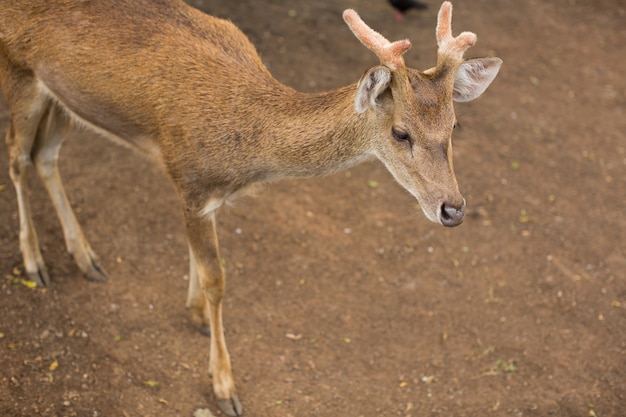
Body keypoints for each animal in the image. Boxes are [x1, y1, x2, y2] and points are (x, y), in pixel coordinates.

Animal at [0, 1, 498, 414]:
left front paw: (196, 314)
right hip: (19, 74)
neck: (241, 150)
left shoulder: (196, 192)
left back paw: (86, 258)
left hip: (61, 98)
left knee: (46, 156)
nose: (453, 208)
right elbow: (217, 278)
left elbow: (199, 263)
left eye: (454, 125)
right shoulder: (190, 182)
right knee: (17, 157)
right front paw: (224, 385)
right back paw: (35, 262)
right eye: (400, 132)